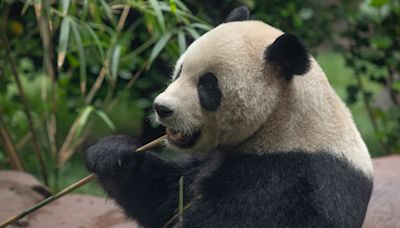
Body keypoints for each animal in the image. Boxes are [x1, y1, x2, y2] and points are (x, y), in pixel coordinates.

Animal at [85, 5, 376, 228]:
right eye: (179, 71)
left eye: (207, 84)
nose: (162, 108)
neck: (279, 119)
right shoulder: (209, 161)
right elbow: (166, 197)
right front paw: (112, 154)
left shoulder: (289, 178)